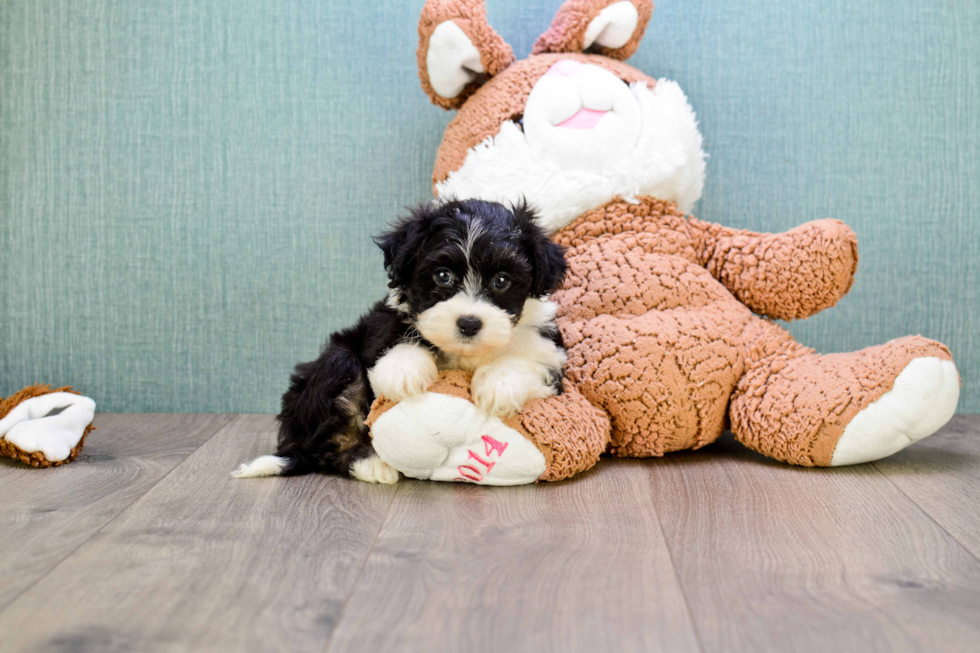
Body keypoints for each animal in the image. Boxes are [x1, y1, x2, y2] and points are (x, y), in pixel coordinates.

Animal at [234, 200, 568, 484]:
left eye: (501, 281)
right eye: (442, 276)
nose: (469, 323)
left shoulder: (550, 355)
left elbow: (528, 361)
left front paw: (498, 385)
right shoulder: (382, 327)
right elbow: (396, 341)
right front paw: (404, 373)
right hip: (335, 366)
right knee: (327, 442)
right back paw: (372, 463)